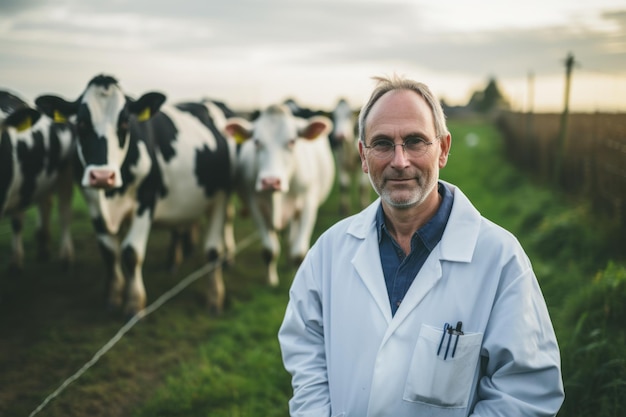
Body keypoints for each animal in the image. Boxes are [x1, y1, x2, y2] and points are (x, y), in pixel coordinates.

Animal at [36, 75, 236, 316]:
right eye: (81, 123)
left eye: (124, 123)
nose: (102, 176)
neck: (111, 197)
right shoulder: (94, 206)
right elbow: (109, 252)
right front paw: (113, 297)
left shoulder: (146, 200)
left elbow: (131, 253)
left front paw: (133, 304)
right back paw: (174, 263)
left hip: (220, 197)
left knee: (214, 248)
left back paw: (215, 295)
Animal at [223, 104, 334, 286]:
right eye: (256, 142)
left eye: (292, 141)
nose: (271, 181)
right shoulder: (255, 206)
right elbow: (270, 250)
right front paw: (271, 279)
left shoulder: (308, 205)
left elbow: (298, 253)